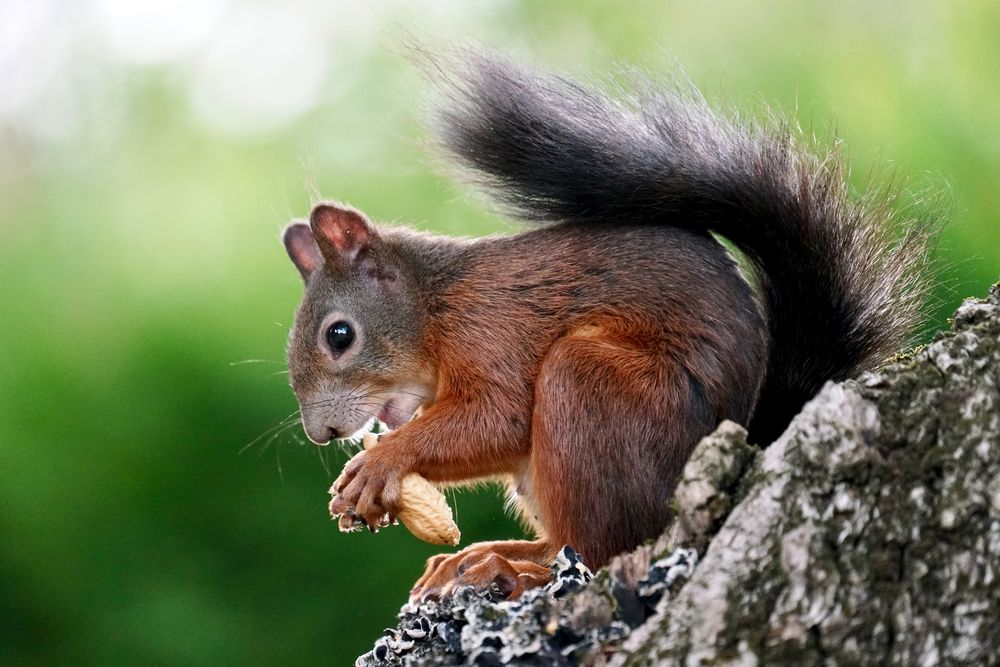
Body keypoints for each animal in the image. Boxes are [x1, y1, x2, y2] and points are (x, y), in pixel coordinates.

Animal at [281, 50, 937, 601]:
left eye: (340, 336)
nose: (321, 434)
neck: (436, 308)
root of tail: (751, 435)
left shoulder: (492, 332)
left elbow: (498, 417)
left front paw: (380, 463)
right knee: (563, 543)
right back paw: (486, 557)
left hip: (593, 389)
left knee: (602, 550)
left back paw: (511, 571)